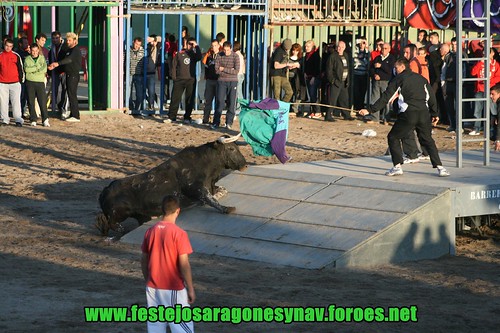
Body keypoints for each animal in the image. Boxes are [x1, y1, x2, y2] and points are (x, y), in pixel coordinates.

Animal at [94, 136, 247, 235]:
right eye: (231, 148)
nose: (245, 165)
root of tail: (105, 191)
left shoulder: (210, 186)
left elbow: (221, 191)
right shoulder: (195, 188)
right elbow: (210, 199)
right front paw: (227, 208)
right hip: (120, 213)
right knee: (111, 222)